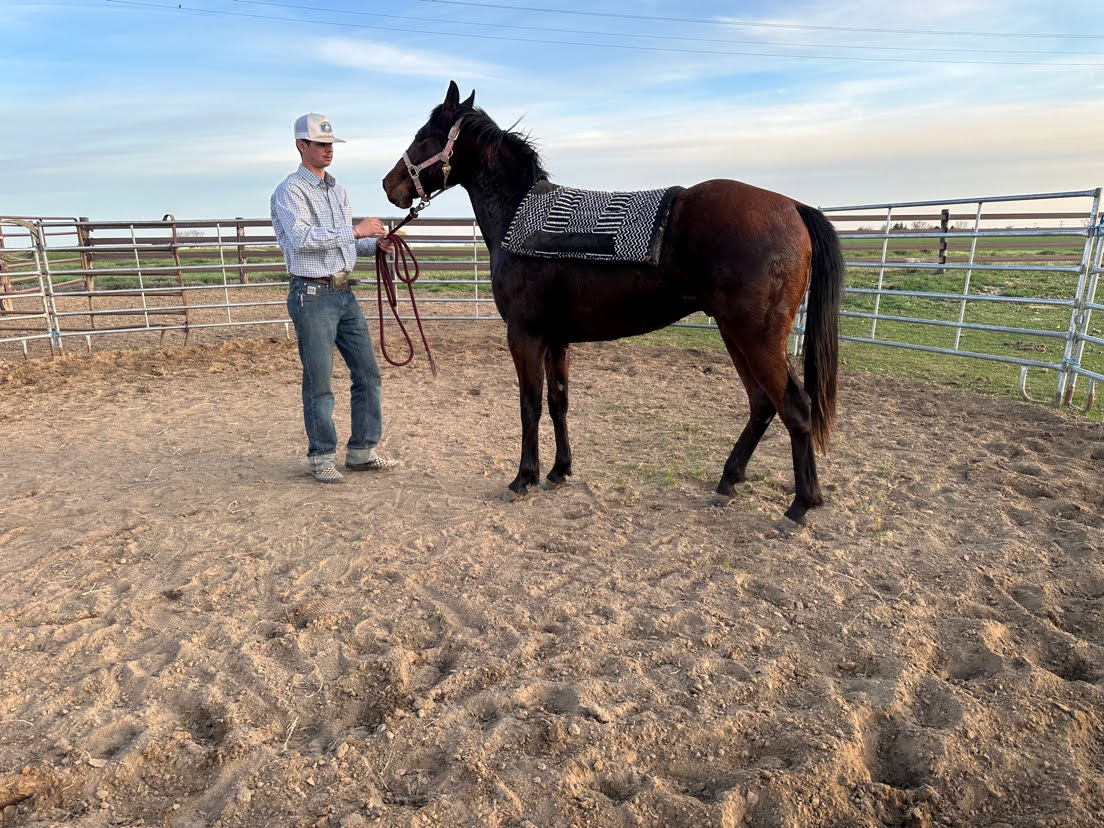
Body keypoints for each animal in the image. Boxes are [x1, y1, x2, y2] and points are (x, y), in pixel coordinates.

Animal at [383, 82, 845, 530]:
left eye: (424, 136)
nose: (389, 185)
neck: (518, 217)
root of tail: (793, 207)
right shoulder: (557, 340)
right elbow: (559, 402)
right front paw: (559, 471)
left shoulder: (525, 336)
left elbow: (530, 405)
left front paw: (524, 478)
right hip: (736, 336)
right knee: (763, 404)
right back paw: (729, 481)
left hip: (756, 339)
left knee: (795, 408)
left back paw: (800, 506)